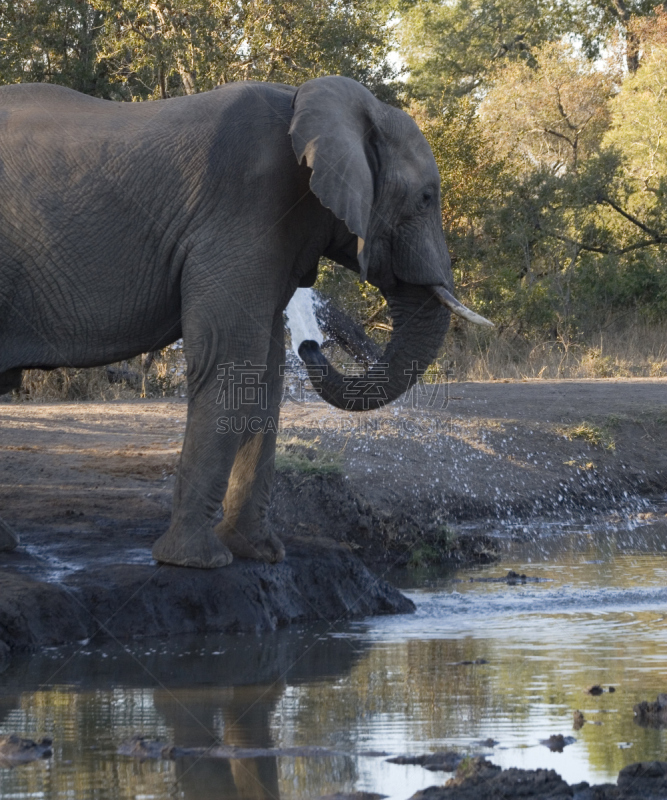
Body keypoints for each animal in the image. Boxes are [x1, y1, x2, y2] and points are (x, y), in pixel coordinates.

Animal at [0, 73, 490, 564]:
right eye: (426, 198)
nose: (310, 345)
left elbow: (265, 372)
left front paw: (259, 553)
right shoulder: (245, 209)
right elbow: (234, 358)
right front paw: (199, 562)